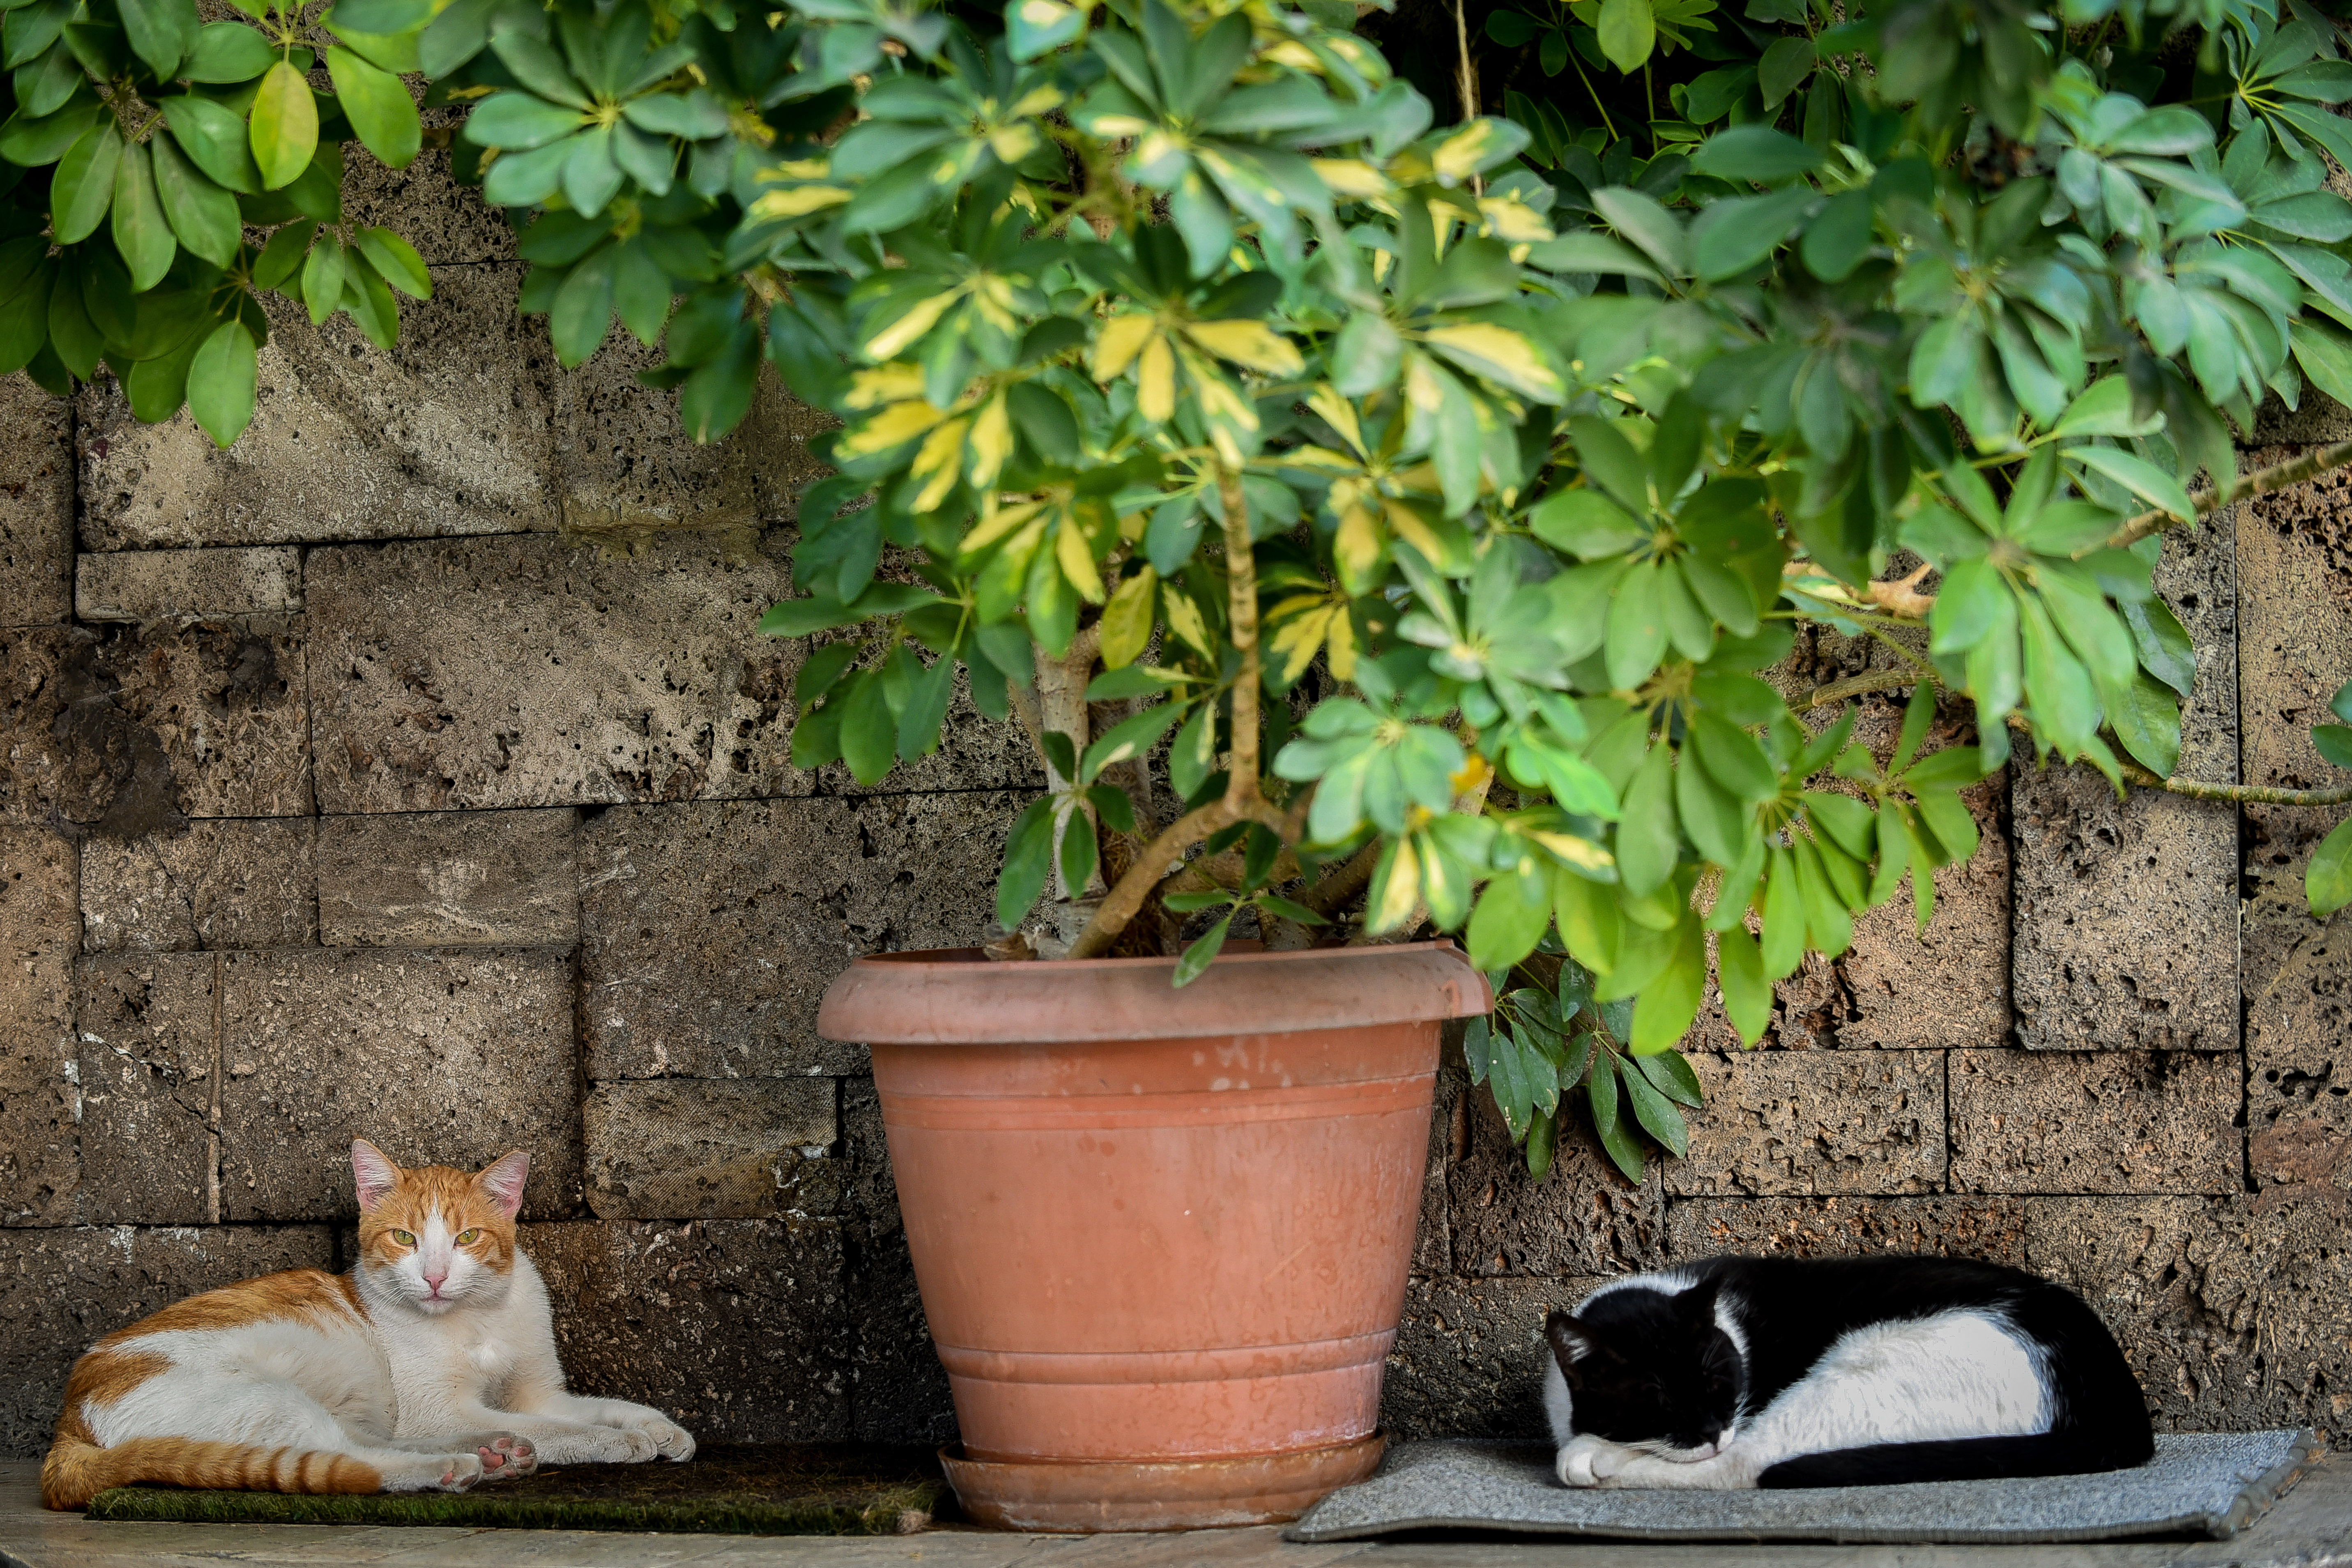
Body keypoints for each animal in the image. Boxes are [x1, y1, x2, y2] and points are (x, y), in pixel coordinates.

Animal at [43, 1133, 686, 1514]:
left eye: (467, 1238)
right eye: (404, 1237)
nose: (433, 1277)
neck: (478, 1318)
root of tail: (69, 1416)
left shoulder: (535, 1392)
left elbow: (594, 1407)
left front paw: (660, 1428)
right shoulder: (438, 1406)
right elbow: (560, 1428)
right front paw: (617, 1442)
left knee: (366, 1443)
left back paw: (496, 1454)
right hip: (266, 1399)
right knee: (354, 1460)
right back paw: (456, 1465)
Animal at [1543, 1250, 2154, 1495]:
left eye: (1718, 1382)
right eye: (1659, 1400)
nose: (1712, 1430)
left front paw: (1597, 1449)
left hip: (1868, 1367)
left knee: (1746, 1465)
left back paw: (1589, 1458)